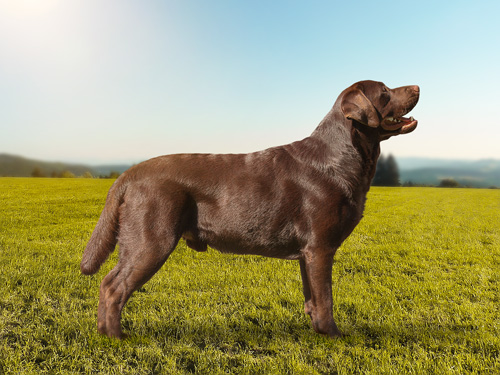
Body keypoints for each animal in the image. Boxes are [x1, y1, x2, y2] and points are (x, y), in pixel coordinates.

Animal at [81, 81, 418, 340]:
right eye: (385, 91)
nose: (417, 87)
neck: (341, 157)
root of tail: (128, 175)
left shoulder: (307, 253)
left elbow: (312, 297)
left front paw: (317, 331)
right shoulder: (320, 247)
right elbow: (326, 298)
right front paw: (333, 335)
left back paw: (103, 332)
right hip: (152, 239)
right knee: (112, 286)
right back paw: (116, 337)